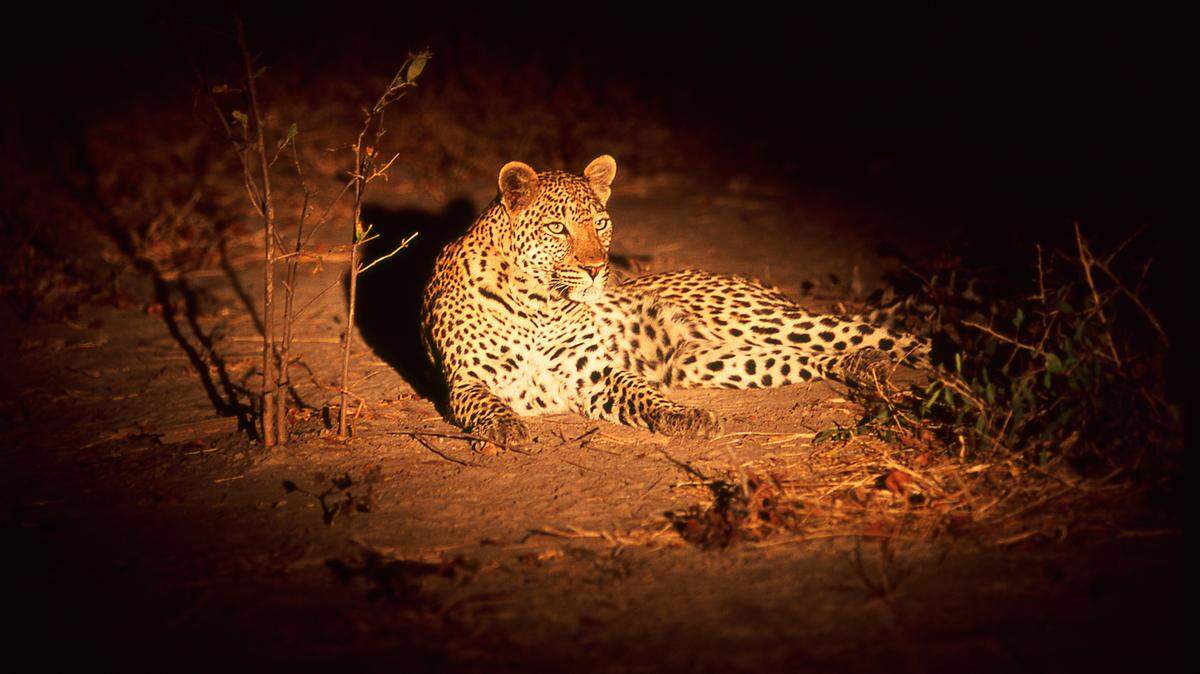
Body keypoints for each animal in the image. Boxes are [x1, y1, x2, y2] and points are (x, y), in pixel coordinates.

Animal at [420, 155, 929, 446]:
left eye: (600, 223)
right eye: (556, 228)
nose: (596, 268)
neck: (539, 306)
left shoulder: (596, 372)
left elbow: (644, 392)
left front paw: (684, 416)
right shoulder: (466, 381)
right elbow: (485, 404)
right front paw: (505, 426)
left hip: (761, 318)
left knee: (883, 335)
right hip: (714, 361)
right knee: (807, 356)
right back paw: (863, 367)